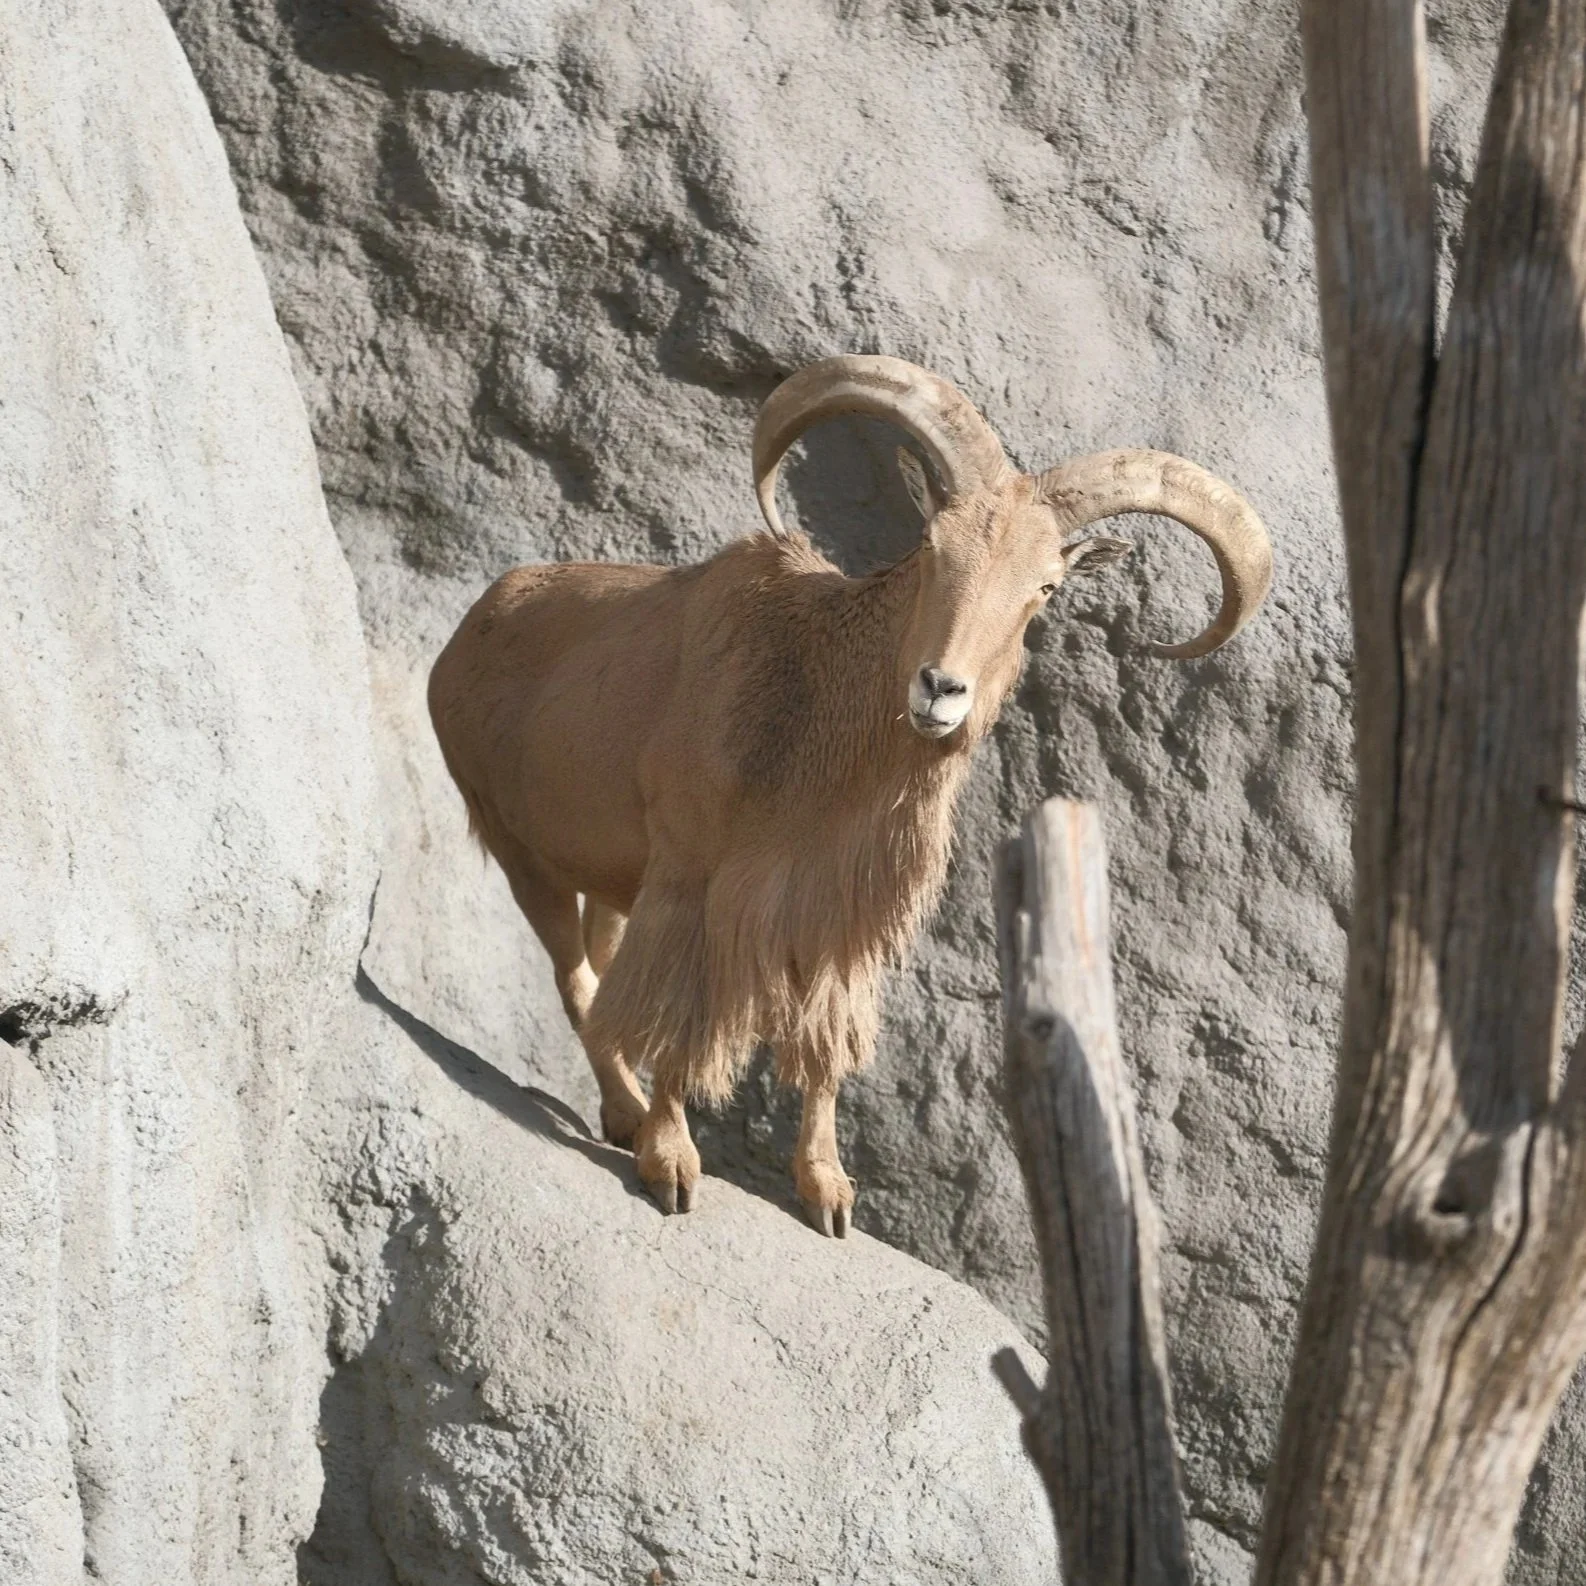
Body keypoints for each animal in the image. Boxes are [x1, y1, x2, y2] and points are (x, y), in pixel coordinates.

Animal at [428, 354, 1271, 1234]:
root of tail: (470, 628)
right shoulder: (692, 887)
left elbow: (825, 1045)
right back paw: (627, 1115)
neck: (812, 710)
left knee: (596, 970)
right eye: (930, 547)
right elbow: (678, 1019)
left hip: (605, 876)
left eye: (1043, 587)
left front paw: (827, 1191)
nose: (941, 688)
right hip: (520, 851)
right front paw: (673, 1164)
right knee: (577, 981)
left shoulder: (834, 914)